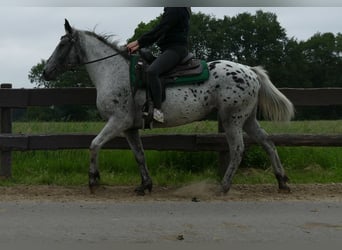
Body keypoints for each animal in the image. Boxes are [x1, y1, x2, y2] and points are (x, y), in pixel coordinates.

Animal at [42, 20, 294, 195]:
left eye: (62, 44)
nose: (46, 71)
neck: (114, 72)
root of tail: (250, 71)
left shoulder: (118, 121)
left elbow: (94, 144)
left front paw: (93, 180)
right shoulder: (129, 128)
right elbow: (140, 155)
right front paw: (145, 185)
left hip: (232, 119)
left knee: (238, 149)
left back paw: (223, 186)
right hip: (248, 119)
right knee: (268, 143)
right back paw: (281, 181)